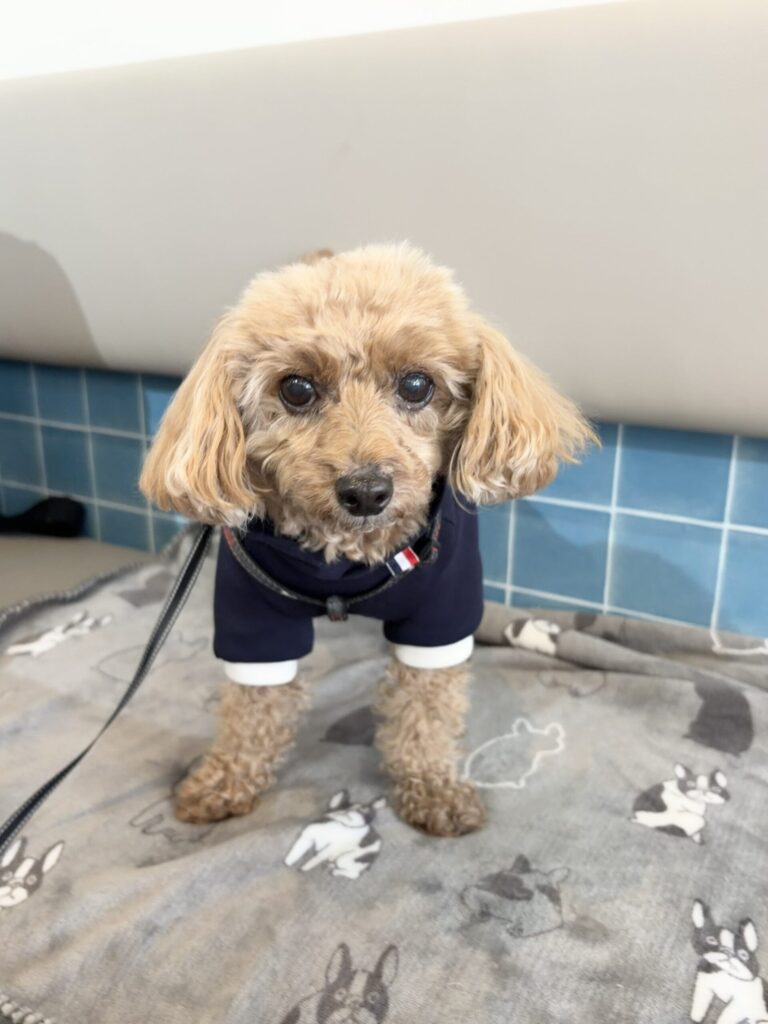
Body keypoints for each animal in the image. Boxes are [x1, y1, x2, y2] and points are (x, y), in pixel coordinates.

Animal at [140, 244, 592, 836]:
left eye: (417, 385)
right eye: (296, 388)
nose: (365, 491)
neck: (344, 557)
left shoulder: (441, 609)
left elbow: (426, 708)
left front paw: (432, 787)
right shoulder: (252, 614)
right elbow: (252, 709)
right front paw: (224, 781)